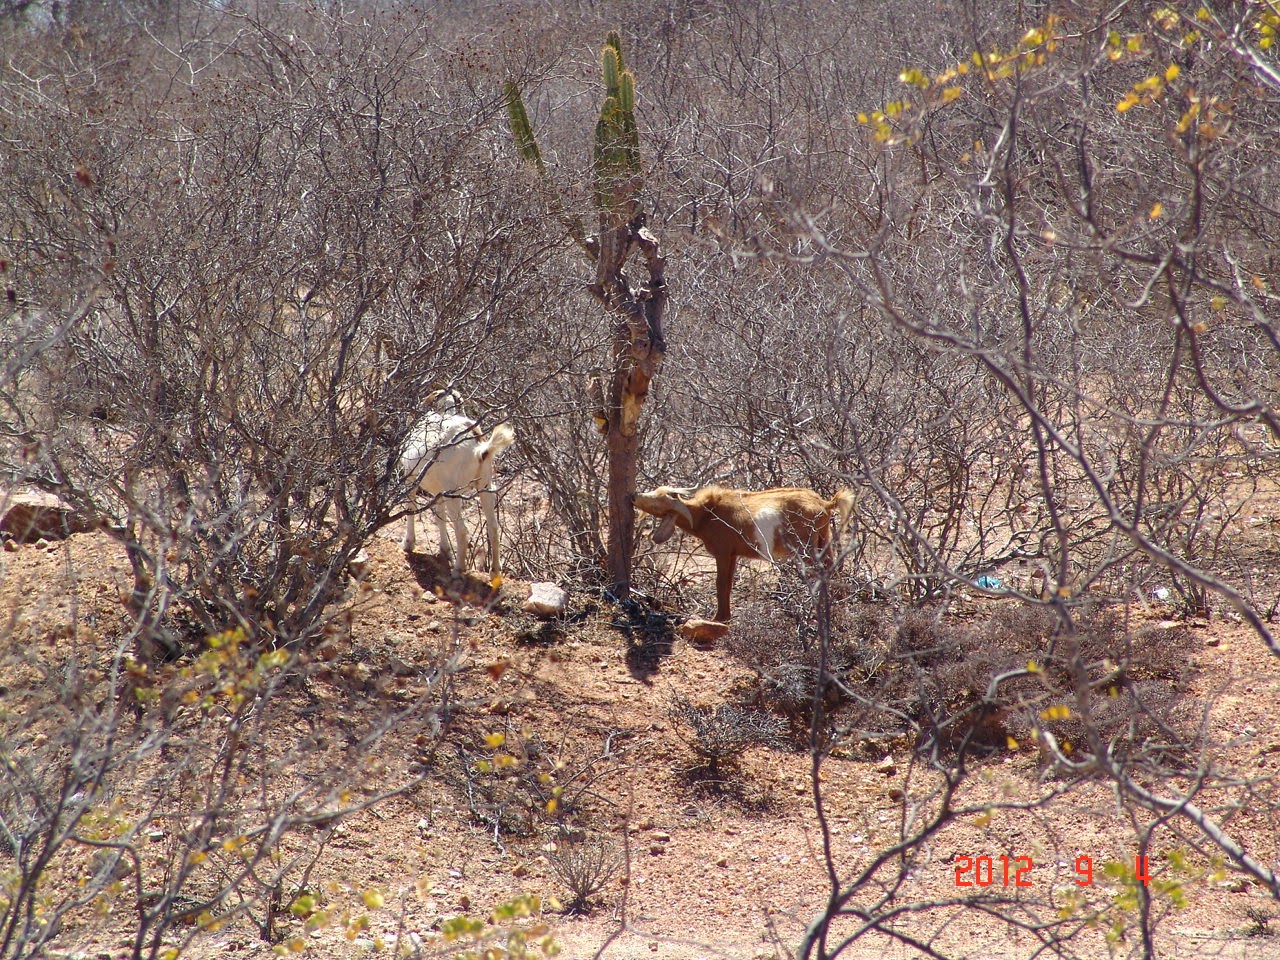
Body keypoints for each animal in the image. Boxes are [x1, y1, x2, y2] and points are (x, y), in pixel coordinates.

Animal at [401, 391, 517, 576]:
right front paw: (444, 551)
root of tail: (478, 449)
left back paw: (458, 570)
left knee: (462, 530)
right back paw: (494, 572)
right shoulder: (438, 492)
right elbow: (439, 517)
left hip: (454, 495)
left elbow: (411, 509)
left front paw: (408, 544)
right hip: (486, 488)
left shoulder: (410, 480)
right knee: (493, 526)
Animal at [627, 488, 849, 624]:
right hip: (823, 541)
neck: (706, 514)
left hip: (806, 548)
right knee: (834, 572)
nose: (634, 496)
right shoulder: (733, 555)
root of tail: (826, 504)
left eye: (657, 502)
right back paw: (841, 608)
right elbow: (728, 584)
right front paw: (725, 616)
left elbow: (720, 584)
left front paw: (718, 618)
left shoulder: (723, 552)